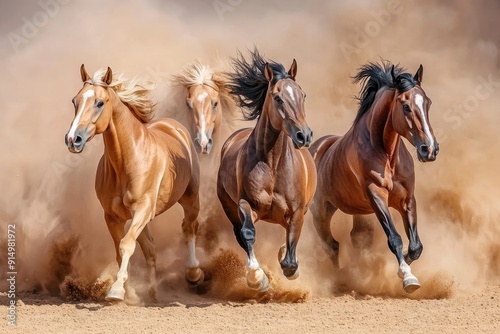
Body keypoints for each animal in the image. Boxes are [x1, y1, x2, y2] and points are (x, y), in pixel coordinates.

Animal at [65, 65, 205, 302]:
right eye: (75, 101)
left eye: (99, 103)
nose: (72, 139)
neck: (127, 160)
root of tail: (175, 126)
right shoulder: (113, 217)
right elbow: (119, 252)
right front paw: (127, 292)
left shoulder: (142, 209)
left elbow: (126, 245)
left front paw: (116, 290)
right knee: (150, 248)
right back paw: (153, 293)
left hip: (190, 199)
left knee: (189, 228)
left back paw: (194, 273)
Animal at [216, 50, 316, 292]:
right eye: (278, 97)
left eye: (303, 95)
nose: (304, 135)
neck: (272, 164)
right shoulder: (246, 204)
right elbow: (248, 233)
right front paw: (257, 278)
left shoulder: (298, 211)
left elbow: (291, 252)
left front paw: (290, 267)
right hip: (229, 206)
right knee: (240, 234)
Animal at [310, 62, 440, 292]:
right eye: (406, 107)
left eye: (428, 103)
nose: (430, 149)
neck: (387, 156)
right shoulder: (376, 195)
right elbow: (395, 238)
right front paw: (407, 277)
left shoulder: (407, 200)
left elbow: (415, 246)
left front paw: (400, 266)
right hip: (321, 212)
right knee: (331, 245)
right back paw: (339, 279)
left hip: (359, 212)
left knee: (355, 240)